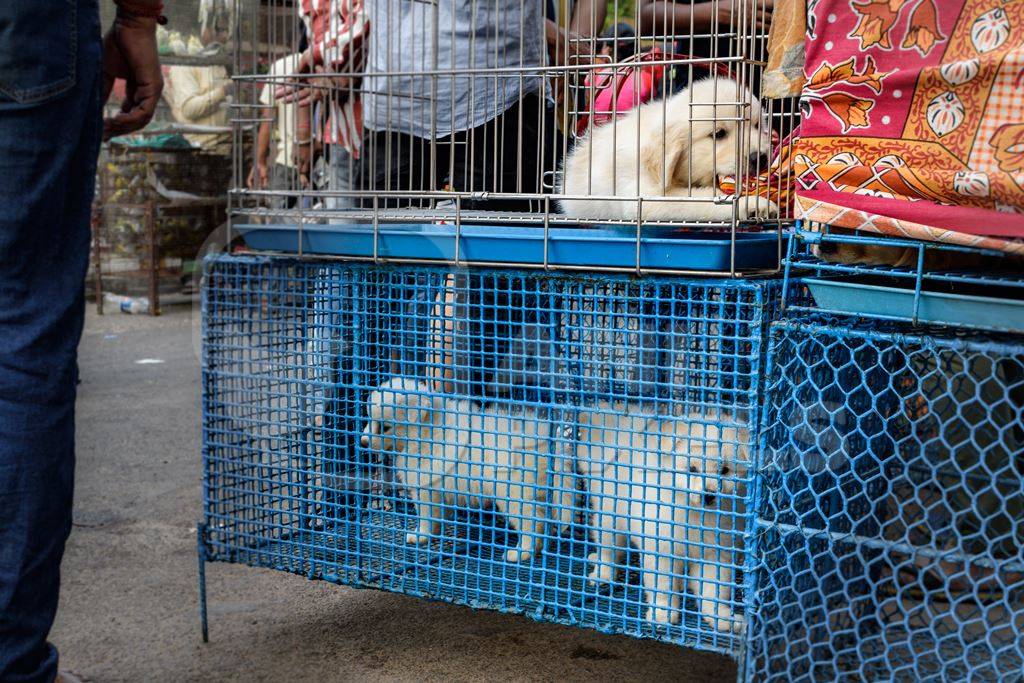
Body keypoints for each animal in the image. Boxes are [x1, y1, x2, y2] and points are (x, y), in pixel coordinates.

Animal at [358, 376, 577, 565]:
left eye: (385, 427)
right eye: (368, 418)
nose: (363, 443)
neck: (425, 429)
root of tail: (549, 449)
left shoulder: (426, 487)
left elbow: (426, 515)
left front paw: (420, 535)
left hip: (515, 494)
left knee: (532, 524)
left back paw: (521, 553)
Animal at [561, 77, 774, 223]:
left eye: (757, 126)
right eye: (719, 134)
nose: (760, 158)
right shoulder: (644, 195)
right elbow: (704, 199)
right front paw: (754, 203)